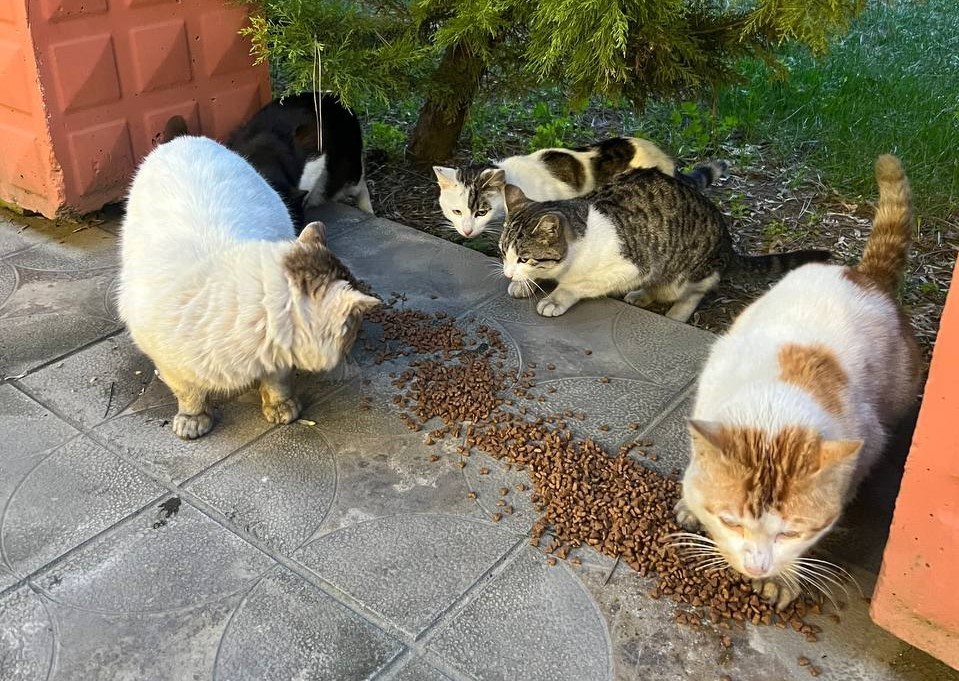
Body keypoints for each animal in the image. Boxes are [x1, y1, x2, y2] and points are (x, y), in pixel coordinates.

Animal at [117, 135, 378, 438]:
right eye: (352, 330)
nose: (354, 347)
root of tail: (186, 139)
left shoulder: (277, 357)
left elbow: (277, 381)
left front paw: (280, 406)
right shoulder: (168, 361)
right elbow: (189, 392)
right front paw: (193, 417)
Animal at [672, 157, 920, 608]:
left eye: (790, 532)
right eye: (731, 522)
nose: (756, 566)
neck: (773, 413)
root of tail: (864, 274)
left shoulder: (865, 448)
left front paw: (783, 577)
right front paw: (689, 505)